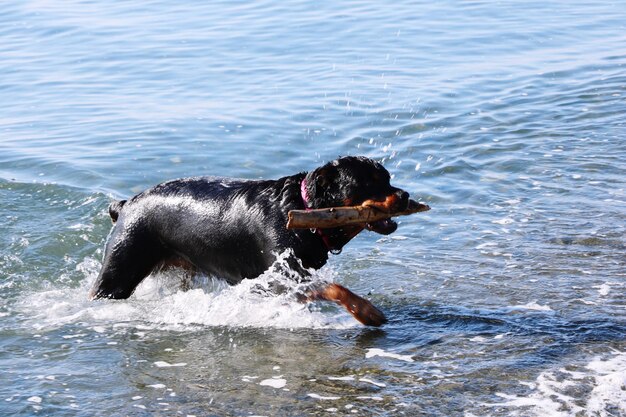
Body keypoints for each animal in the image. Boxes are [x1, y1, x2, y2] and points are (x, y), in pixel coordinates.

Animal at [88, 156, 410, 324]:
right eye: (368, 183)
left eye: (388, 178)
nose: (405, 195)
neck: (304, 208)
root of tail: (125, 204)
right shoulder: (281, 276)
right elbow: (334, 288)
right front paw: (367, 312)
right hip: (121, 266)